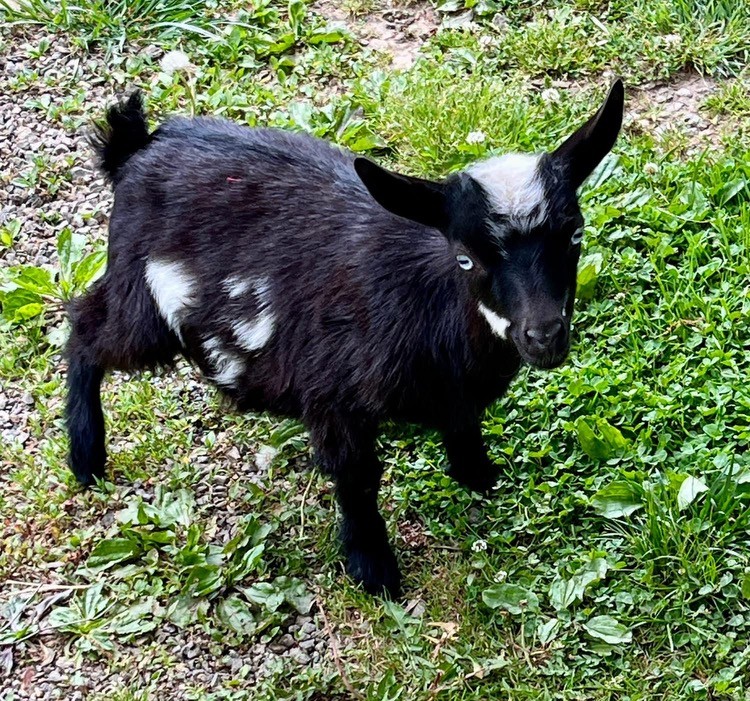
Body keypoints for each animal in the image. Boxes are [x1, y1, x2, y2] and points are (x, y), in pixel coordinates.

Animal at [66, 81, 624, 597]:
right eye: (466, 257)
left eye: (575, 234)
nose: (544, 335)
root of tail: (139, 148)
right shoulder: (333, 395)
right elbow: (358, 478)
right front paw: (372, 568)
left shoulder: (455, 397)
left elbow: (463, 429)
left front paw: (479, 477)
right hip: (145, 302)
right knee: (85, 327)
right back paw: (86, 455)